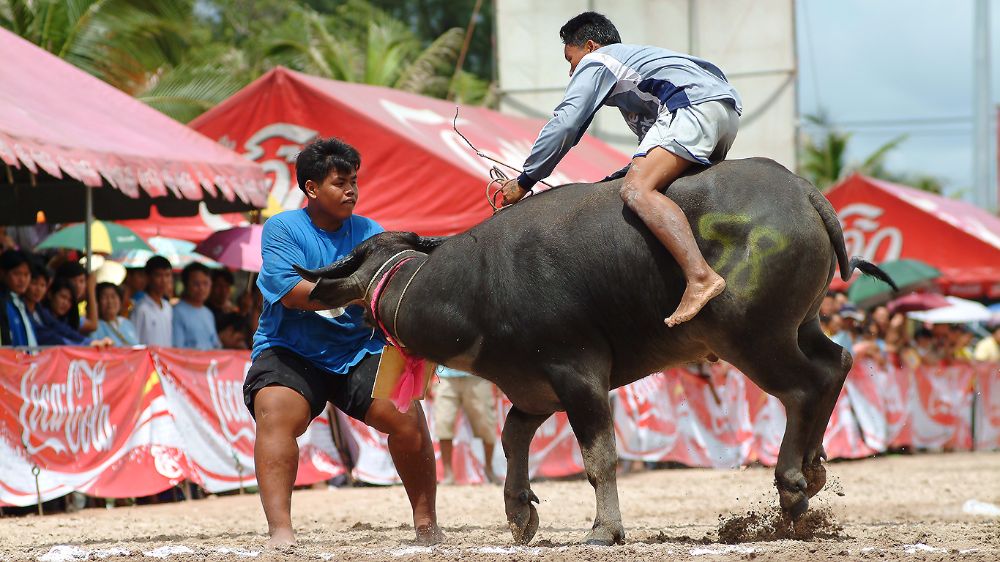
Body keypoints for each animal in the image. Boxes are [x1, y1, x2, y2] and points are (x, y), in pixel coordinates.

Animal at [296, 158, 893, 546]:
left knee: (803, 386)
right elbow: (513, 439)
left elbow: (598, 456)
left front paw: (605, 528)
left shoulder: (577, 373)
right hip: (800, 325)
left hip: (751, 337)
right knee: (836, 363)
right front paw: (520, 513)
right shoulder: (533, 389)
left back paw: (793, 484)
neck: (479, 283)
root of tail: (804, 193)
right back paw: (815, 468)